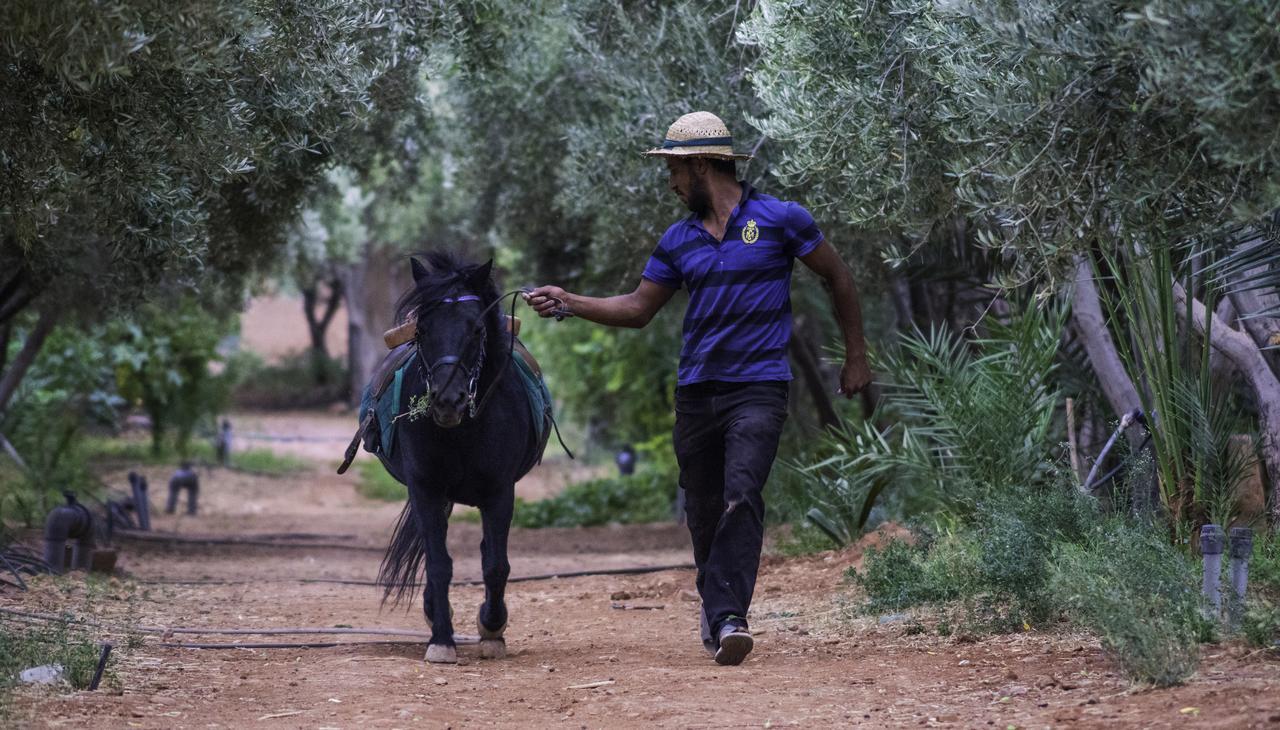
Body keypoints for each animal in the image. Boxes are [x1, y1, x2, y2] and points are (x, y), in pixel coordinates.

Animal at [373, 252, 545, 660]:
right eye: (421, 331)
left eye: (477, 330)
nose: (448, 401)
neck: (463, 430)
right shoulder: (426, 489)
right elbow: (439, 564)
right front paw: (442, 639)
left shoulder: (500, 492)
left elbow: (495, 564)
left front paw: (492, 627)